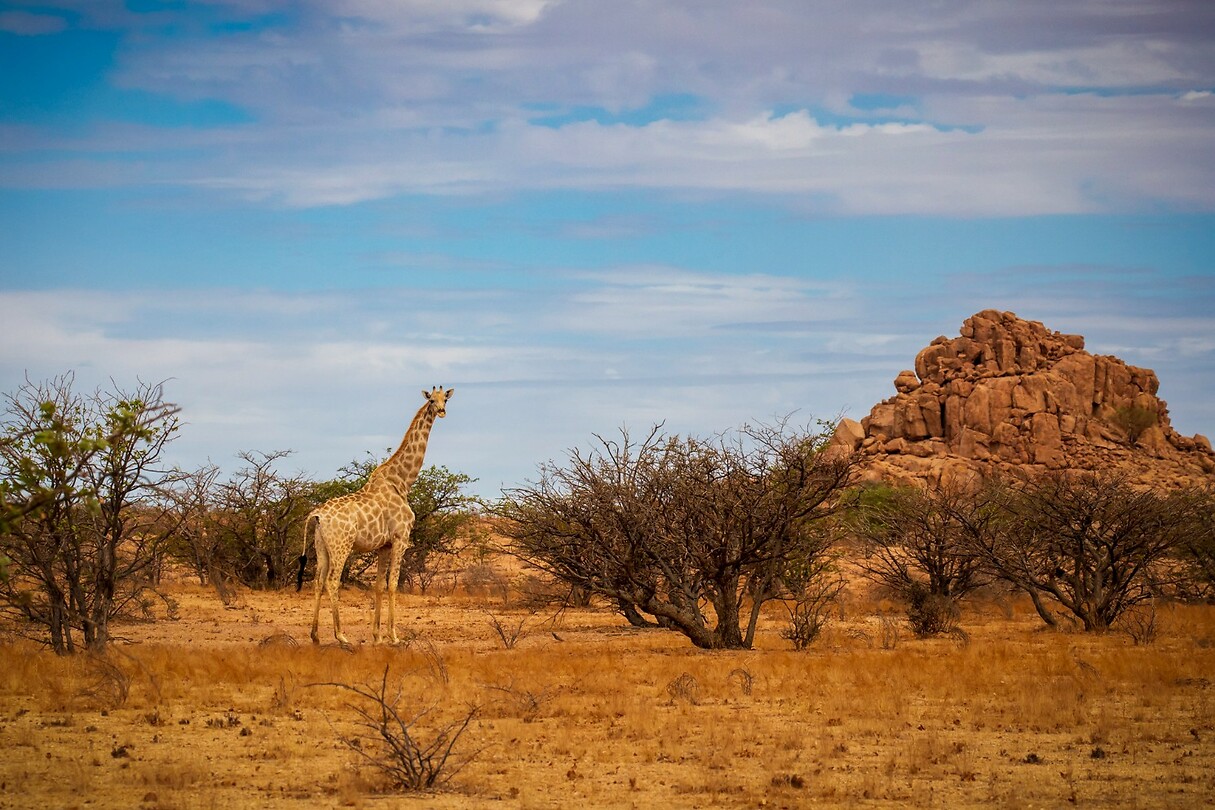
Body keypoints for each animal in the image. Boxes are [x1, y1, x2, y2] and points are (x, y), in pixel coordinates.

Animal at [296, 386, 454, 645]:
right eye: (431, 400)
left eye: (445, 399)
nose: (441, 411)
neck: (402, 482)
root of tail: (317, 515)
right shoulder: (401, 538)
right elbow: (392, 585)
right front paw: (394, 636)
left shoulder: (383, 545)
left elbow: (379, 585)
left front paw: (377, 636)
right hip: (341, 546)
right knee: (332, 581)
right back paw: (341, 635)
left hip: (321, 546)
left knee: (318, 581)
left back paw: (315, 635)